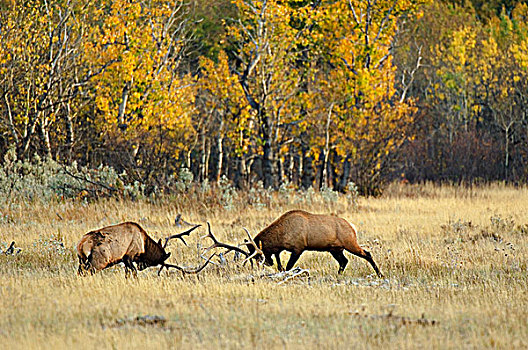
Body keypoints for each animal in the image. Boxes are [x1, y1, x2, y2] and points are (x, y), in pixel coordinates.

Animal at [76, 221, 212, 276]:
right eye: (156, 262)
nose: (142, 266)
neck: (144, 245)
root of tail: (82, 244)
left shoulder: (125, 260)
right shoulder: (129, 256)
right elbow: (134, 273)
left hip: (81, 261)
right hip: (98, 261)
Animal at [203, 211, 384, 276]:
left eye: (260, 255)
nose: (266, 263)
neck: (282, 235)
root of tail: (352, 227)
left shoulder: (299, 247)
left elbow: (288, 266)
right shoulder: (281, 250)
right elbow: (281, 264)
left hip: (349, 243)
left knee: (367, 253)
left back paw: (380, 274)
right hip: (335, 249)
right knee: (344, 261)